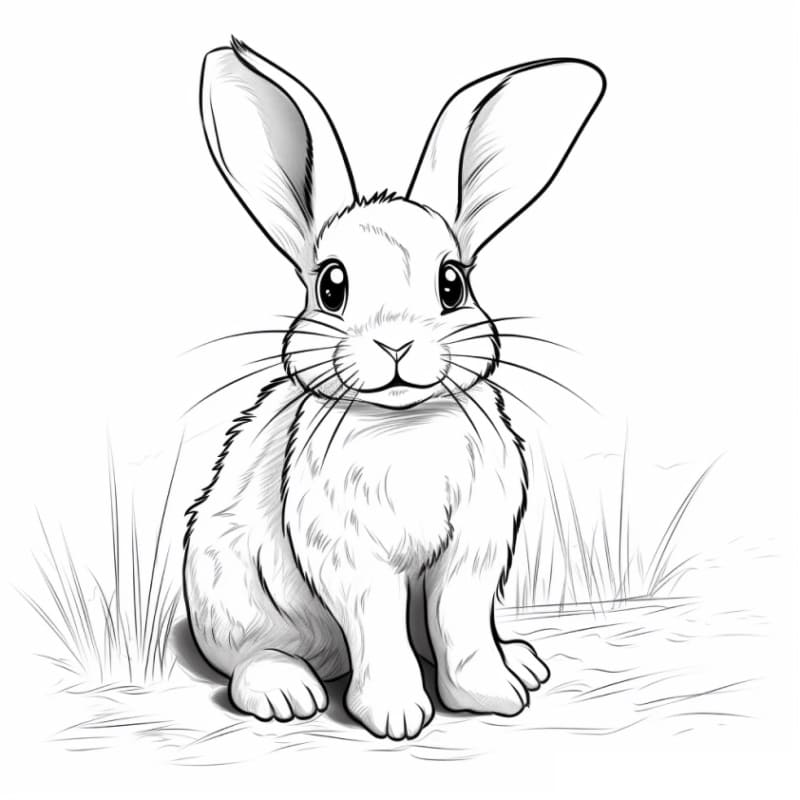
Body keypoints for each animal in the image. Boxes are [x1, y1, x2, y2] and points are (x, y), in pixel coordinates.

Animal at [184, 37, 605, 740]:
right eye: (331, 285)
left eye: (452, 283)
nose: (397, 345)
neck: (404, 423)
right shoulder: (350, 556)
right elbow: (378, 627)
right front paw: (397, 716)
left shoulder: (476, 546)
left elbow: (462, 623)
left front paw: (490, 694)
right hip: (227, 590)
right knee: (248, 657)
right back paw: (286, 692)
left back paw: (521, 661)